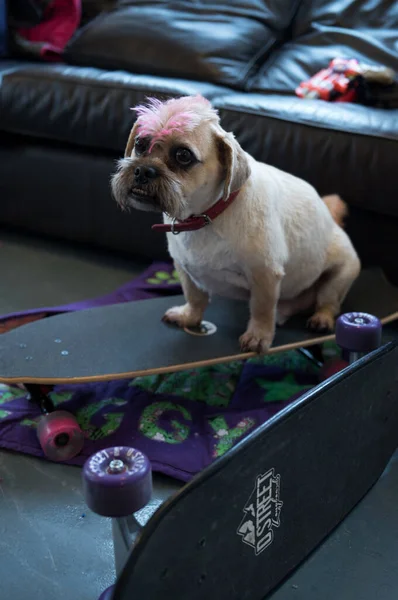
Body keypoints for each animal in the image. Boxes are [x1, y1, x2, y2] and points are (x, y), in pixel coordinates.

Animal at [112, 95, 360, 354]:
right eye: (140, 144)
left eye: (183, 155)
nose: (143, 170)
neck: (203, 217)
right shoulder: (184, 267)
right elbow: (195, 296)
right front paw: (190, 317)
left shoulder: (265, 274)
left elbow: (262, 309)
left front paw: (258, 336)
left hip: (340, 275)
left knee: (327, 302)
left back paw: (321, 318)